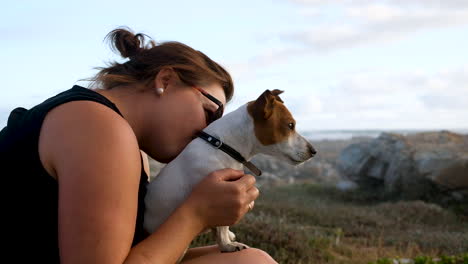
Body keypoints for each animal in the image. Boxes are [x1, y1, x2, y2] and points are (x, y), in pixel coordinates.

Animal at [144, 89, 316, 255]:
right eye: (290, 125)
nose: (314, 151)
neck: (222, 146)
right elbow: (222, 227)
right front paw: (227, 245)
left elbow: (224, 227)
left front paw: (229, 238)